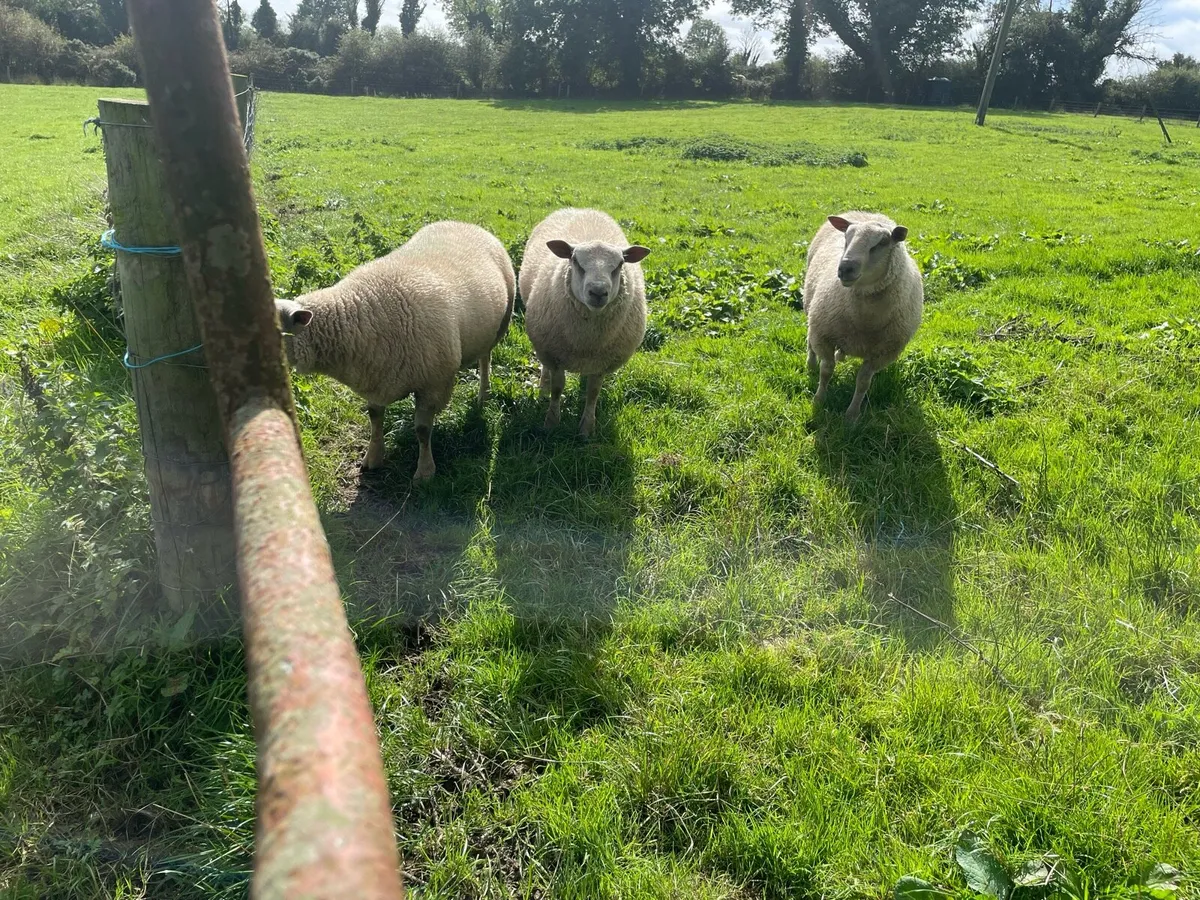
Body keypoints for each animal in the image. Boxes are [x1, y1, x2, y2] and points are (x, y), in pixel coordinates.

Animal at [275, 220, 515, 481]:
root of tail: (464, 223)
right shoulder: (374, 376)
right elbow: (374, 418)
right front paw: (373, 457)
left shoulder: (432, 384)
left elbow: (422, 430)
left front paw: (425, 471)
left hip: (499, 326)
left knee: (485, 359)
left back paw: (483, 395)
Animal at [519, 208, 651, 437]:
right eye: (575, 260)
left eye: (620, 264)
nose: (598, 292)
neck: (586, 341)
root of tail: (582, 209)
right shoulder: (554, 355)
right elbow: (557, 389)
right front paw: (551, 423)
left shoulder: (602, 361)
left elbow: (593, 392)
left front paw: (587, 429)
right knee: (545, 369)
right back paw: (543, 388)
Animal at [802, 211, 923, 423]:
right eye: (846, 237)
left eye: (882, 242)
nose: (845, 268)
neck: (864, 320)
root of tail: (866, 212)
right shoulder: (823, 335)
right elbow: (826, 371)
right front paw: (819, 399)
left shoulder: (881, 353)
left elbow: (863, 383)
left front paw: (852, 415)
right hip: (811, 308)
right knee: (810, 341)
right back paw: (811, 364)